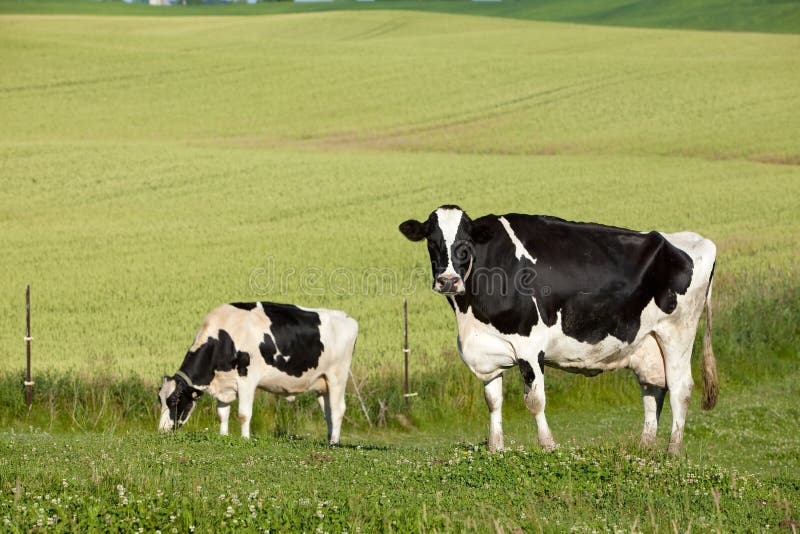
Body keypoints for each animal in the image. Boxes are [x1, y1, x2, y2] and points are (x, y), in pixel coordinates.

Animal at [158, 304, 358, 446]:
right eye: (160, 400)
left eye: (174, 400)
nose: (161, 431)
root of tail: (348, 318)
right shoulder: (224, 383)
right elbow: (222, 413)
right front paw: (223, 435)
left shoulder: (247, 379)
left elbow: (243, 414)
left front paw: (245, 438)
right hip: (322, 383)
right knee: (328, 411)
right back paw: (330, 438)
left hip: (338, 375)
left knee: (338, 409)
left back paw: (334, 443)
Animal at [400, 207, 720, 454]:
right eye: (431, 242)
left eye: (466, 244)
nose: (448, 281)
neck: (470, 313)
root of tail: (694, 240)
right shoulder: (488, 350)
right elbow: (493, 401)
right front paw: (495, 447)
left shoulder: (530, 346)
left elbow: (535, 400)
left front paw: (548, 445)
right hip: (647, 342)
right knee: (653, 388)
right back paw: (644, 448)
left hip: (678, 332)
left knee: (680, 388)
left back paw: (673, 451)